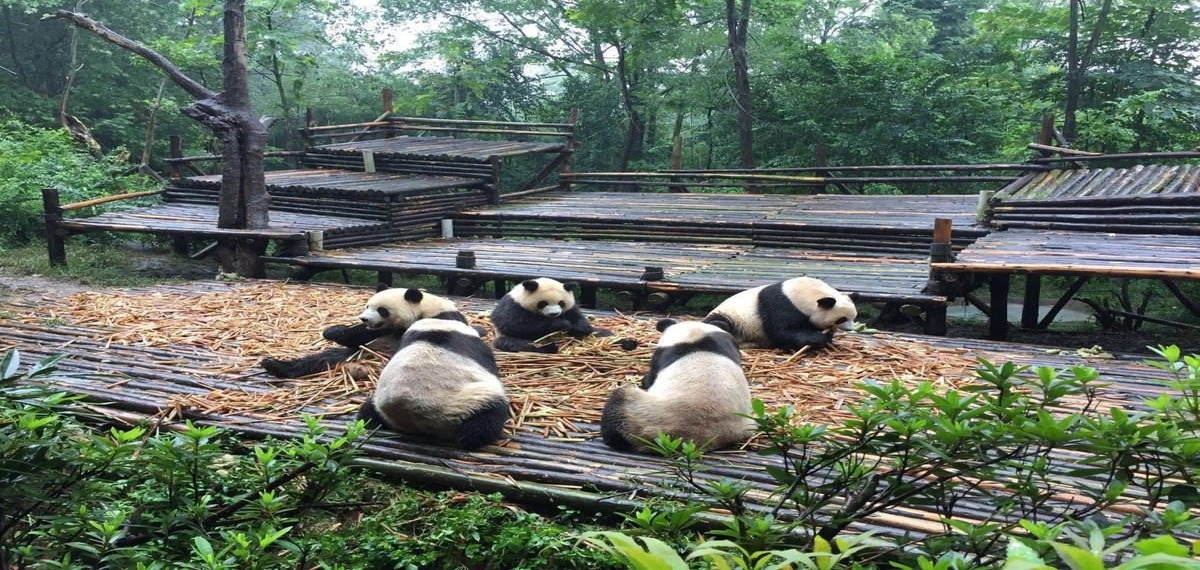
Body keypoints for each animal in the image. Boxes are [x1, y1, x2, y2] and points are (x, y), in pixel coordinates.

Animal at [260, 290, 465, 379]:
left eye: (382, 310)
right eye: (368, 305)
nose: (364, 318)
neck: (424, 308)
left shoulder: (440, 319)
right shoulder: (382, 330)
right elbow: (357, 336)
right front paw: (333, 331)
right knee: (319, 359)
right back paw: (275, 366)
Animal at [352, 319, 508, 448]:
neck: (437, 327)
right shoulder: (477, 347)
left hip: (379, 399)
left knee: (368, 412)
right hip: (468, 401)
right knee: (484, 423)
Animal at [600, 321, 748, 456]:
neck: (696, 339)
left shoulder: (663, 354)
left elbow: (651, 376)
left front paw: (644, 380)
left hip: (642, 415)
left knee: (619, 407)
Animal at [700, 277, 859, 352]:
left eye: (854, 317)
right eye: (841, 319)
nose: (851, 329)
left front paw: (827, 338)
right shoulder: (781, 305)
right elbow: (782, 330)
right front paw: (817, 339)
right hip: (733, 318)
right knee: (720, 323)